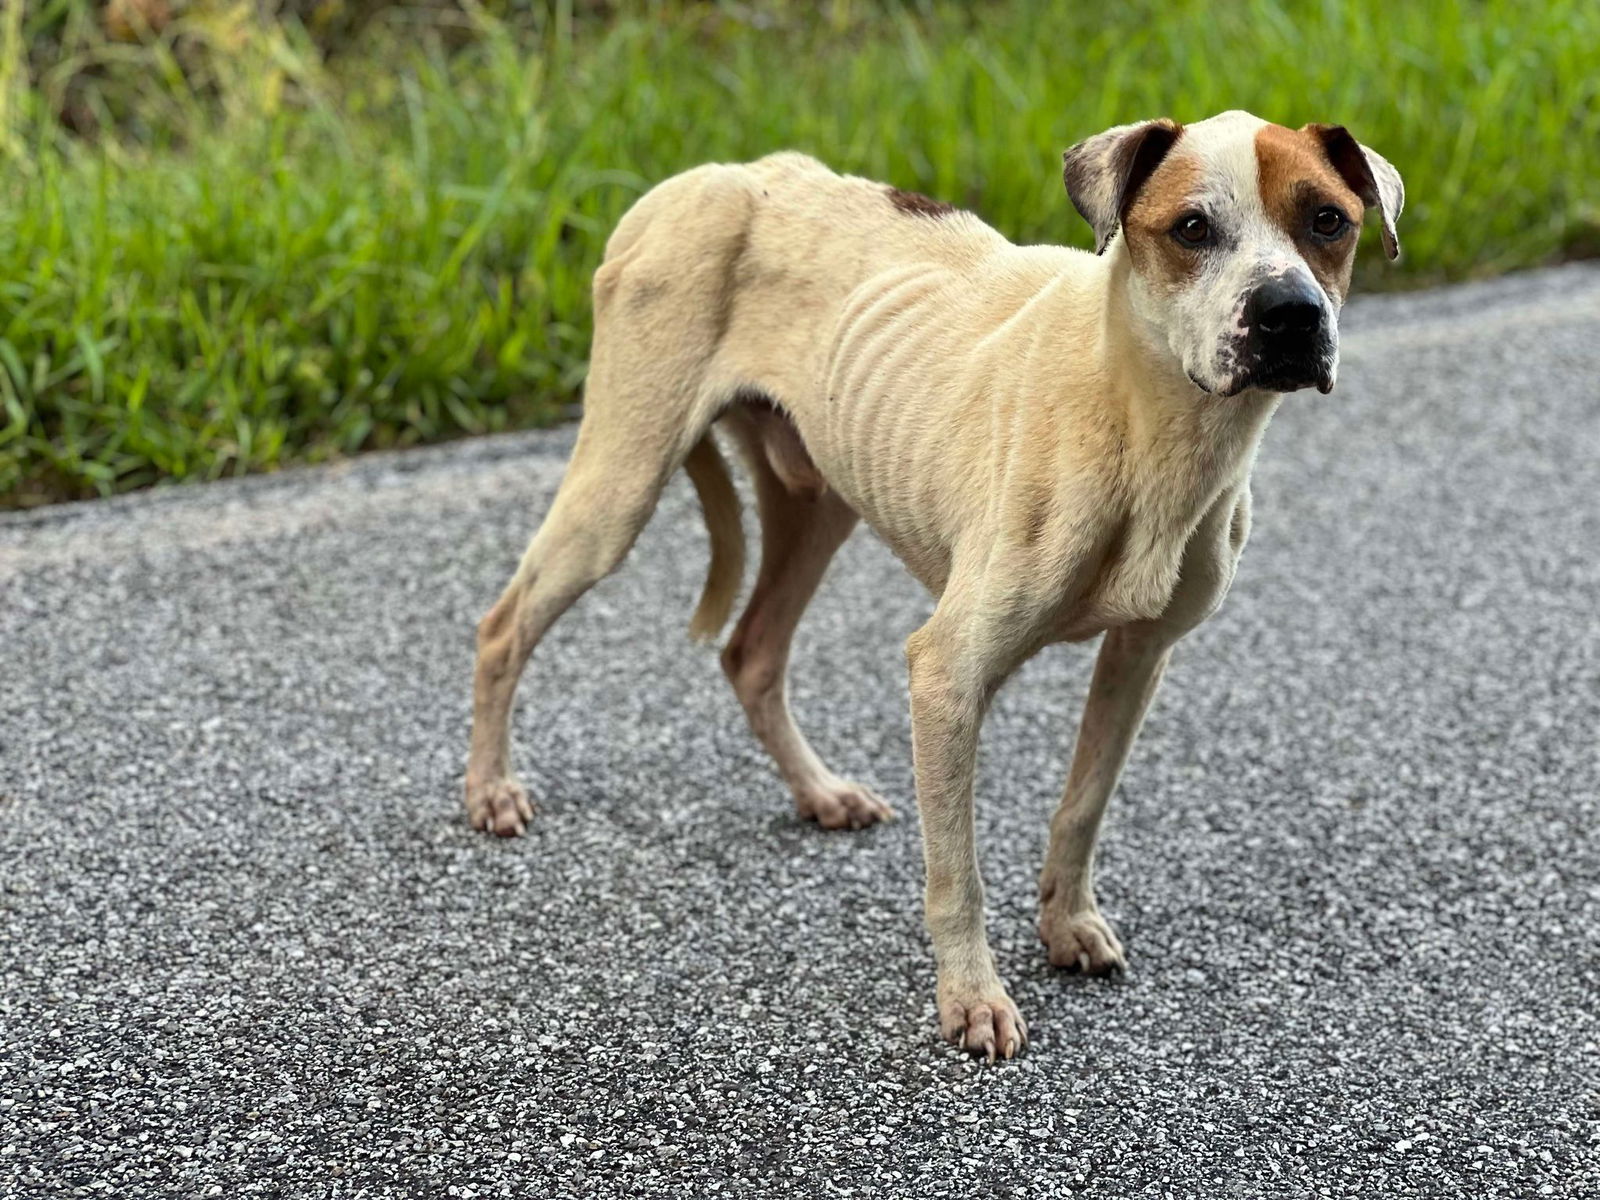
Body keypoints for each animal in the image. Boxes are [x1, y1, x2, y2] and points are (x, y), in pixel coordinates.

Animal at [464, 110, 1401, 1062]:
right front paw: (973, 999)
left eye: (1328, 220)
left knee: (750, 653)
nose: (1291, 314)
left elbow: (1082, 808)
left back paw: (821, 794)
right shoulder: (947, 676)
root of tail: (703, 177)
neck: (1141, 416)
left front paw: (1066, 925)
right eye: (1192, 228)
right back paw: (492, 791)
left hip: (815, 505)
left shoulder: (1139, 657)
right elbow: (959, 873)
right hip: (621, 487)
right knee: (504, 627)